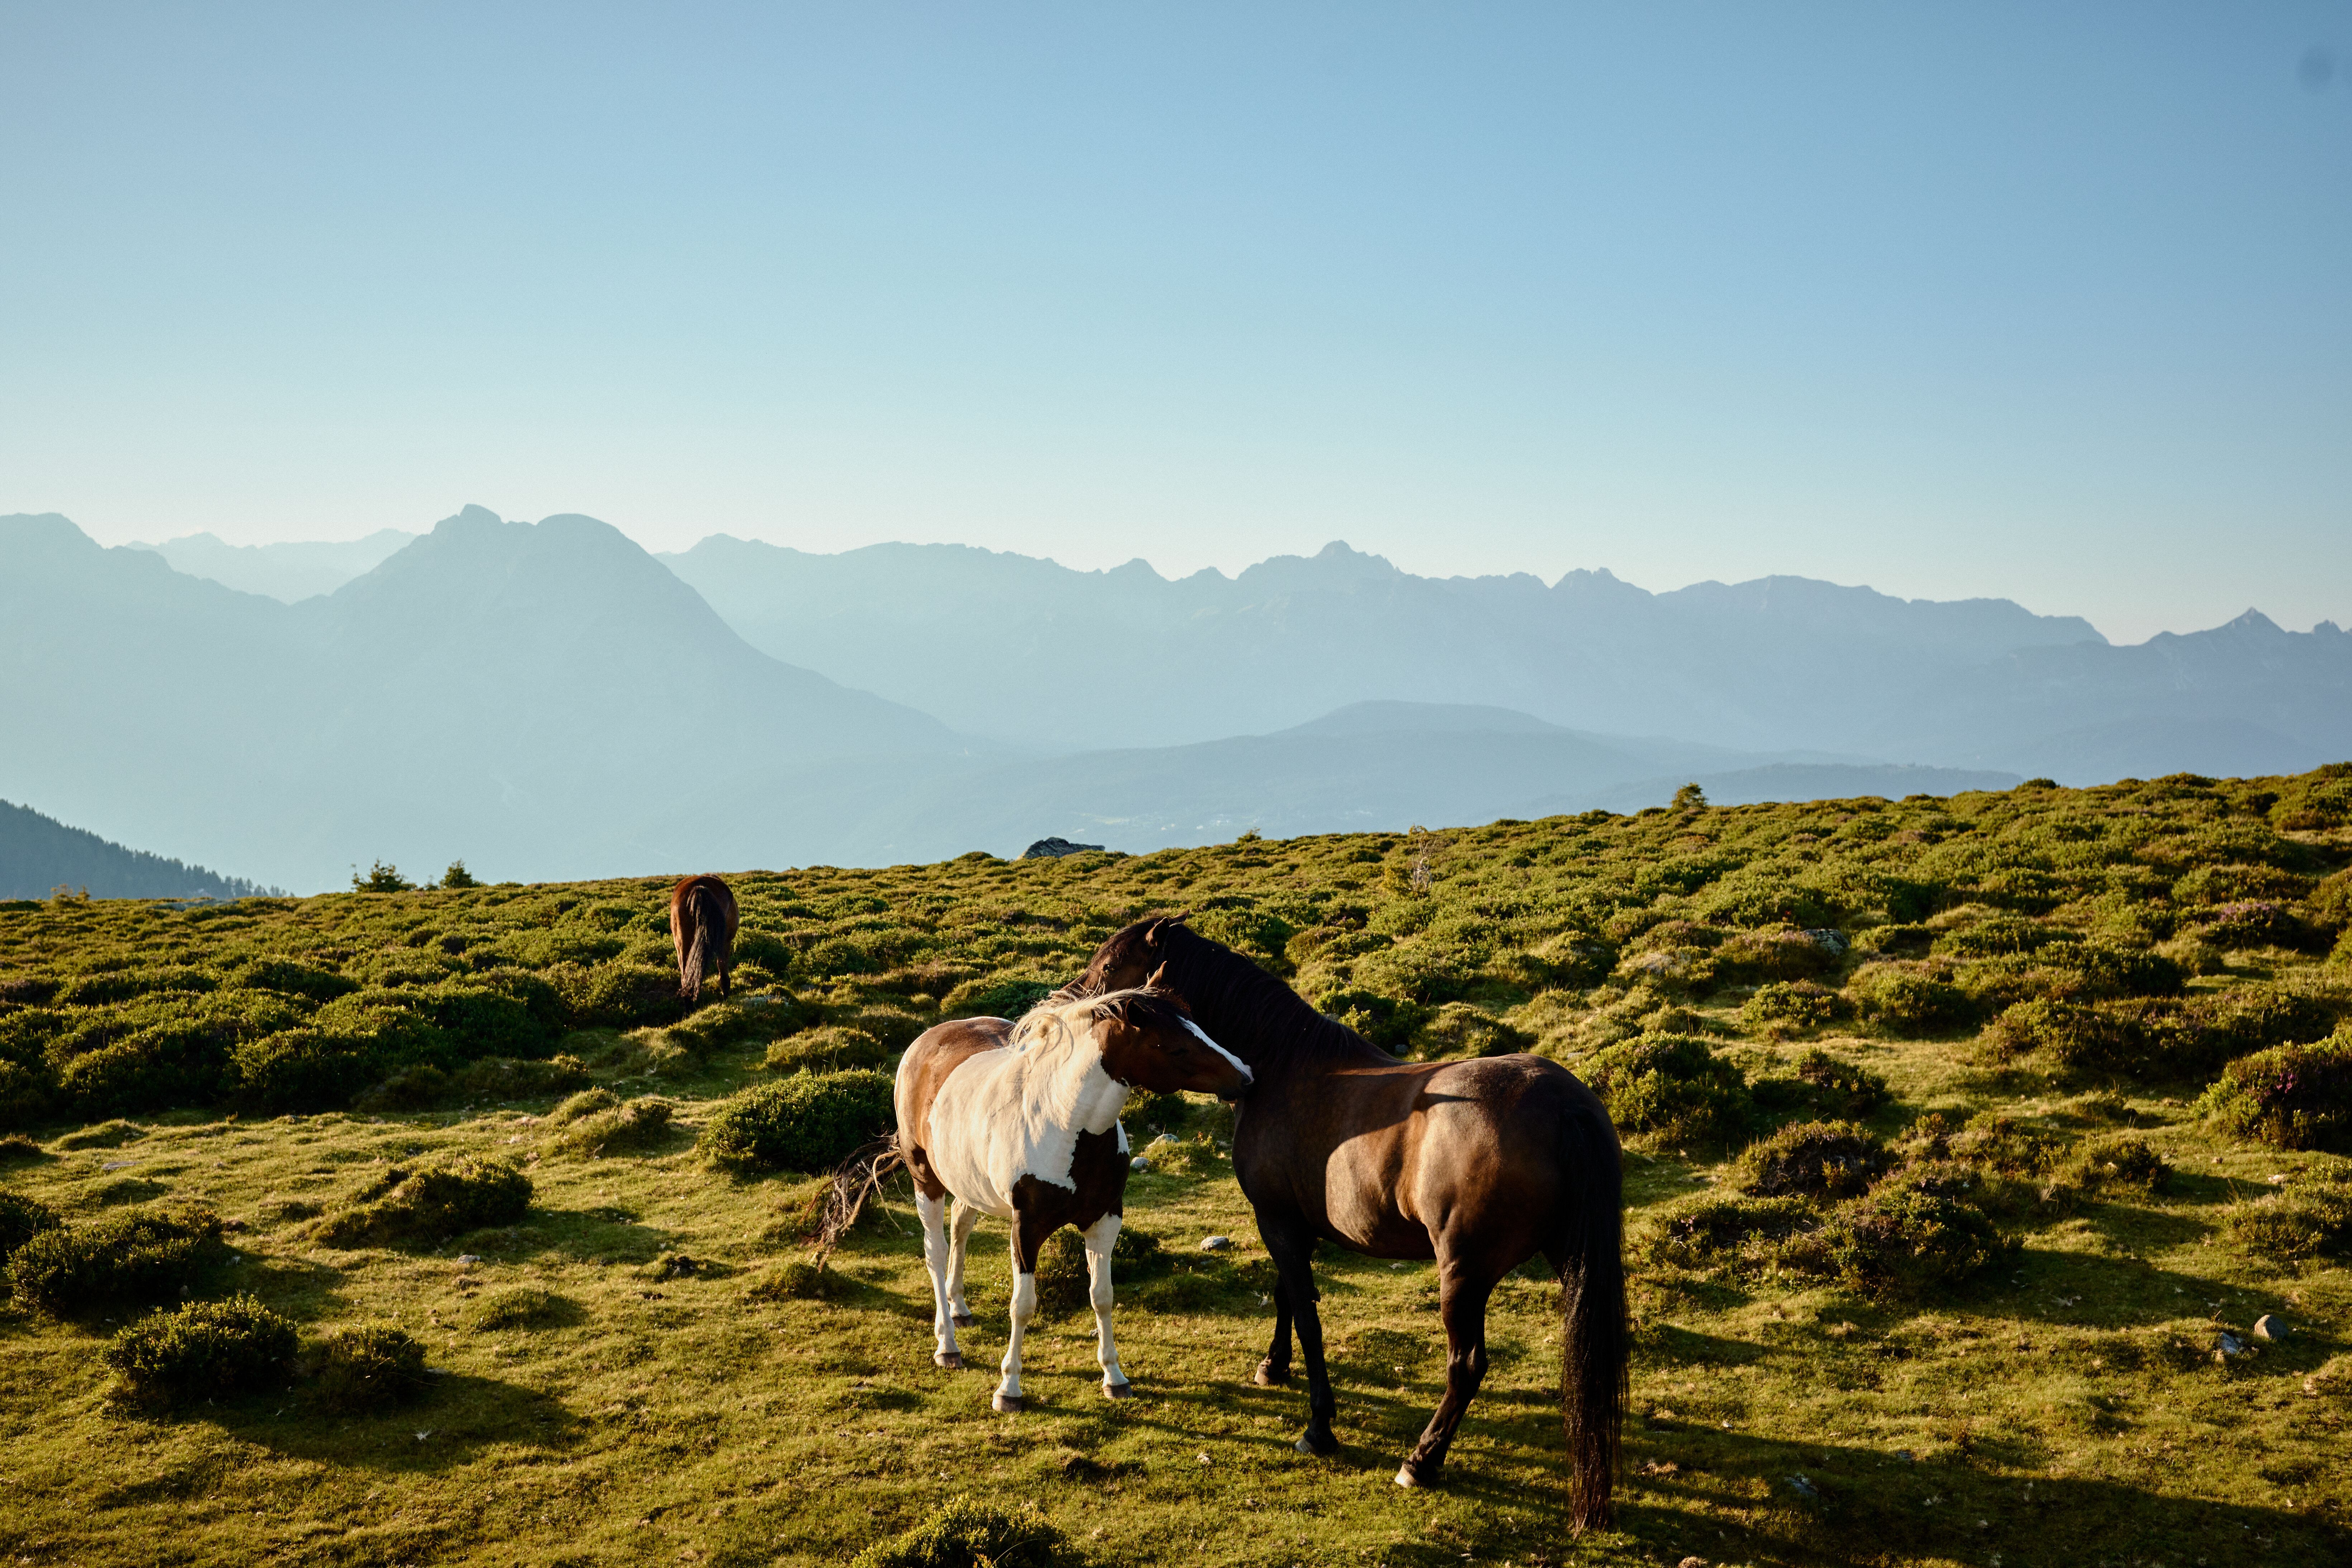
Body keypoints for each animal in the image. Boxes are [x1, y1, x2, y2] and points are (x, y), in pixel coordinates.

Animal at [889, 987, 1251, 1420]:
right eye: (1177, 1047)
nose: (1245, 1076)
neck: (1063, 1123)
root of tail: (927, 1041)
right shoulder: (1026, 1230)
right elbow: (1023, 1306)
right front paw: (1009, 1388)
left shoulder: (1105, 1221)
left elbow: (1102, 1296)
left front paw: (1115, 1377)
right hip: (926, 1182)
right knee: (937, 1252)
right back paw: (947, 1345)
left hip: (966, 1183)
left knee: (961, 1229)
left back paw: (959, 1308)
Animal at [1077, 921, 1628, 1533]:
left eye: (1109, 969)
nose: (1072, 1005)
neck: (1282, 1066)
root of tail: (1566, 1105)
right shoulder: (1296, 1222)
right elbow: (1287, 1296)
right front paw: (1273, 1366)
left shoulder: (1277, 1220)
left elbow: (1308, 1316)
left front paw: (1319, 1427)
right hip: (1567, 1257)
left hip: (1464, 1271)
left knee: (1466, 1365)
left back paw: (1421, 1460)